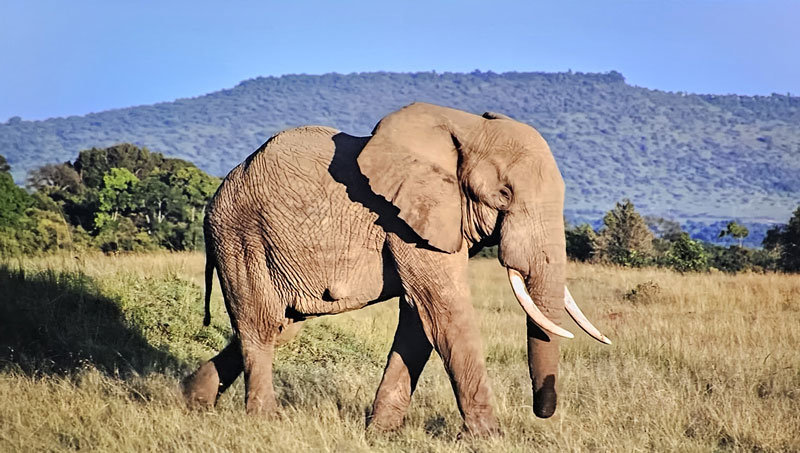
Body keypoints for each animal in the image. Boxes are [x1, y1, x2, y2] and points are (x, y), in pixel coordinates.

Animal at [184, 102, 608, 434]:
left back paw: (193, 399)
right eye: (503, 194)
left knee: (281, 327)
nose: (542, 411)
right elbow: (444, 310)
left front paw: (380, 433)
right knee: (261, 325)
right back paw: (264, 421)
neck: (466, 127)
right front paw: (490, 437)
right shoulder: (405, 219)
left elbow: (419, 319)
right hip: (240, 237)